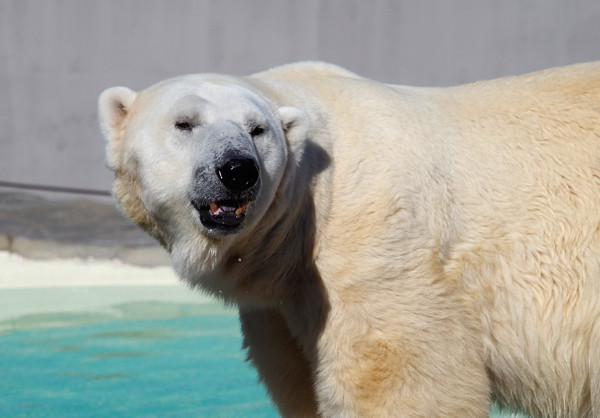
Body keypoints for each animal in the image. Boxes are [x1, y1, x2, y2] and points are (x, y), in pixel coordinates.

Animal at [98, 62, 600, 418]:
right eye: (185, 123)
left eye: (257, 129)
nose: (238, 170)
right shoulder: (280, 301)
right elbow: (297, 381)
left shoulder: (373, 244)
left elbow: (399, 379)